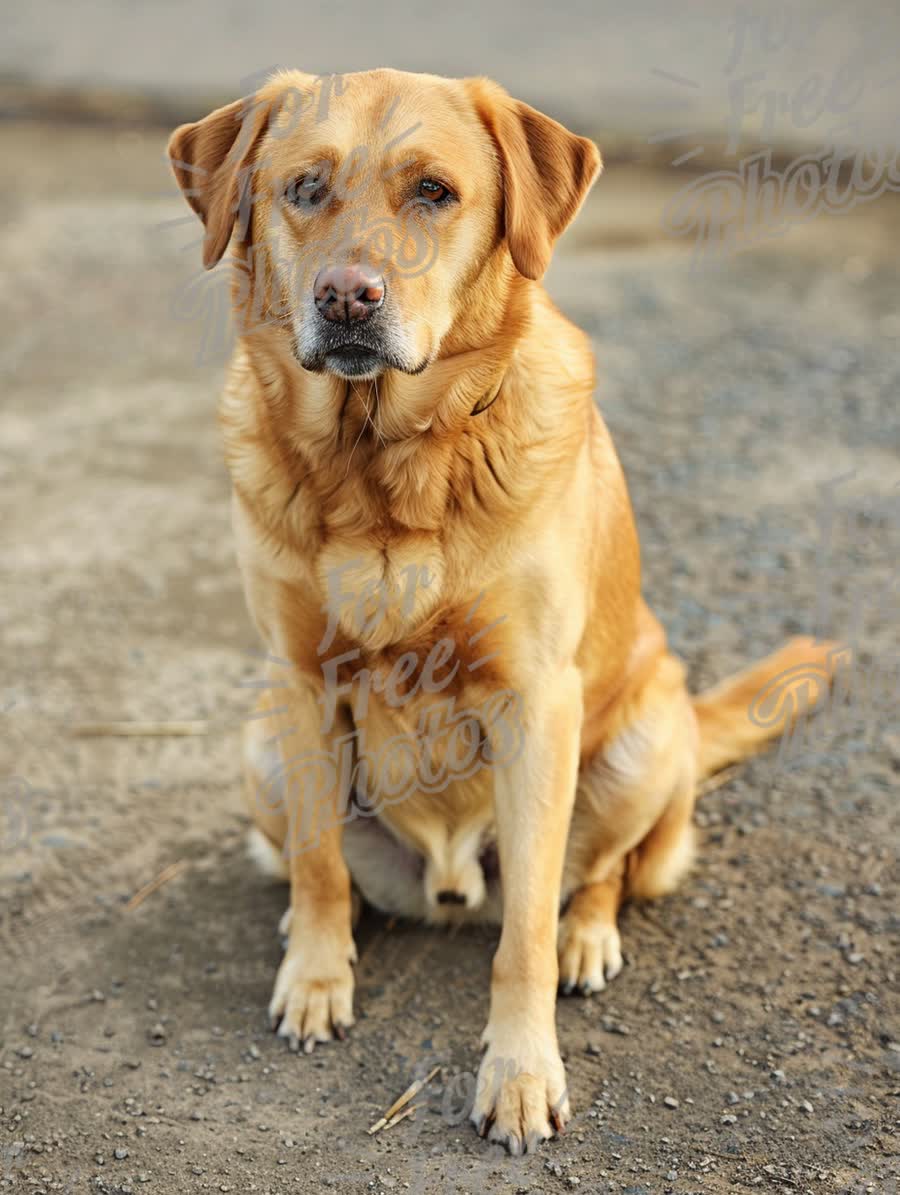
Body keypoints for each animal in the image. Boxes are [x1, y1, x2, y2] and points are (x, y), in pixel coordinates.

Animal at [167, 69, 836, 1151]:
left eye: (434, 192)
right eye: (303, 188)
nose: (346, 296)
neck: (379, 467)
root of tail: (447, 887)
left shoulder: (536, 705)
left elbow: (521, 931)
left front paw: (520, 1073)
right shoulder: (298, 681)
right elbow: (316, 866)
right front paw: (314, 978)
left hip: (644, 741)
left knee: (602, 872)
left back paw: (586, 938)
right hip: (259, 745)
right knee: (320, 864)